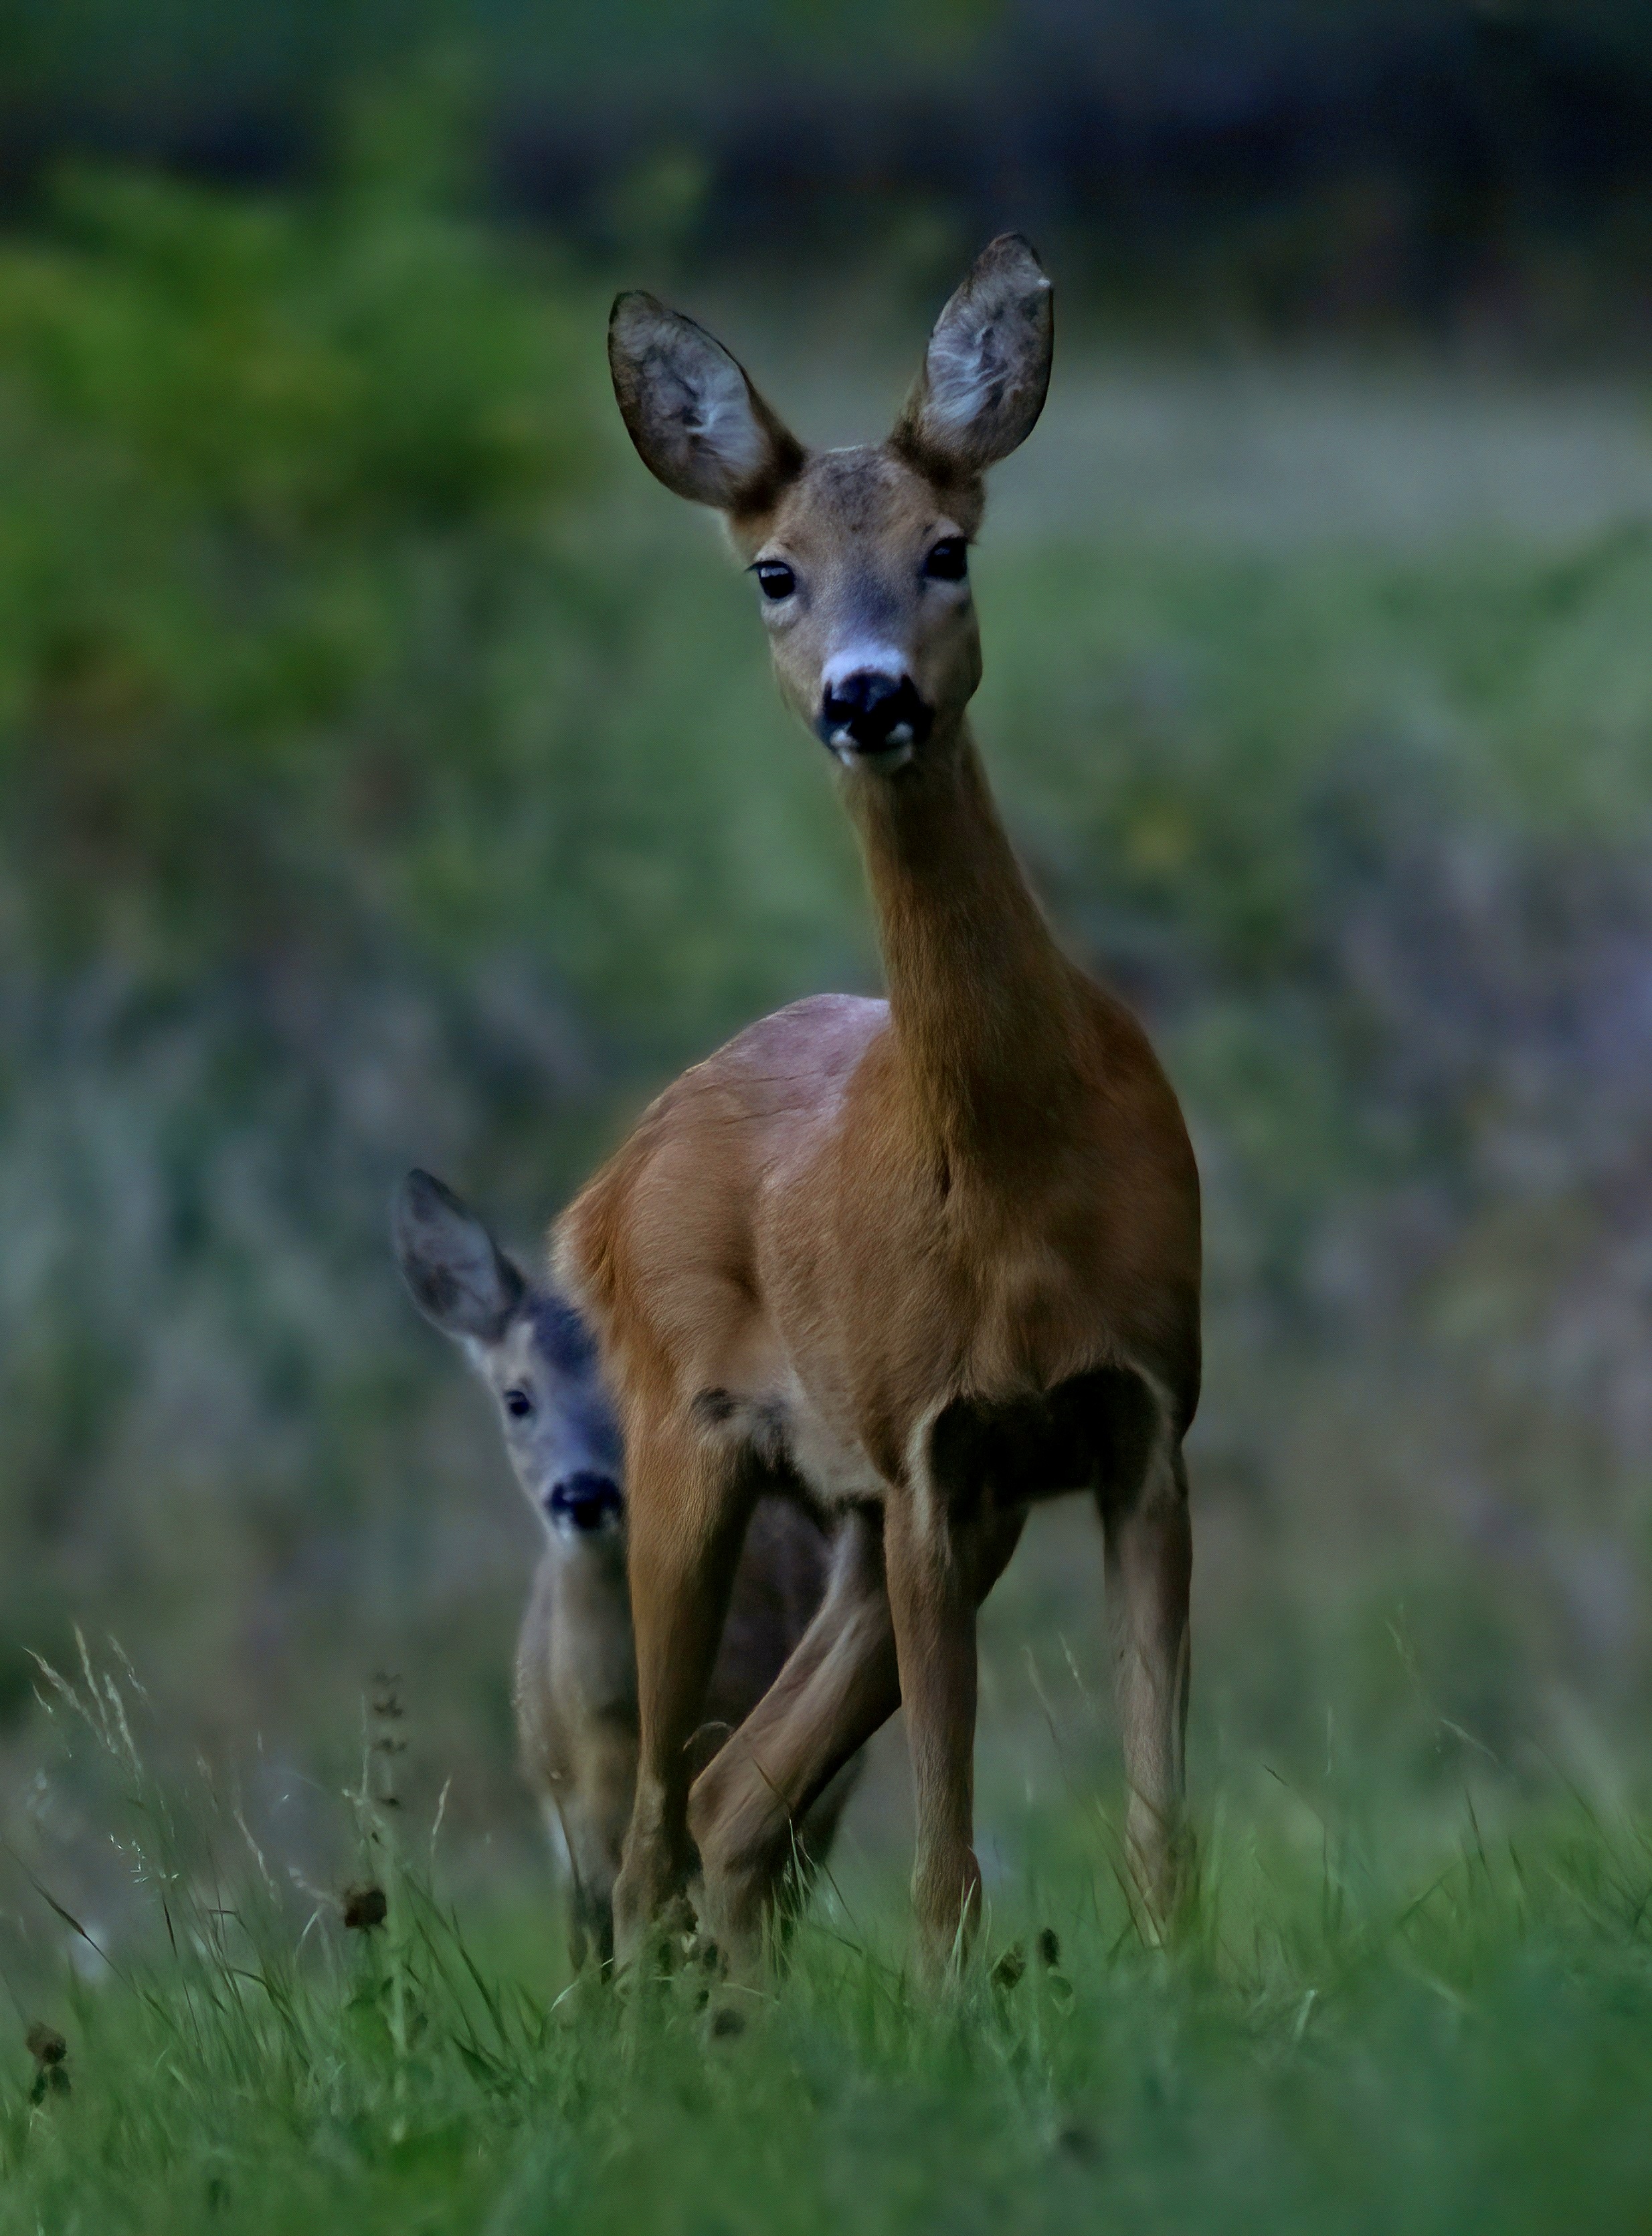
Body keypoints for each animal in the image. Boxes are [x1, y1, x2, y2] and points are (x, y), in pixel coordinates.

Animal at [559, 236, 1198, 1968]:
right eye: (773, 574)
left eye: (944, 551)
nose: (866, 697)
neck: (1016, 1178)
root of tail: (605, 1180)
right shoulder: (928, 1446)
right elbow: (943, 1855)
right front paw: (946, 2003)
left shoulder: (1137, 1418)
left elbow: (1155, 1827)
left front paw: (1184, 1990)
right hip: (683, 1447)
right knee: (650, 1827)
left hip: (865, 1512)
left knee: (733, 1800)